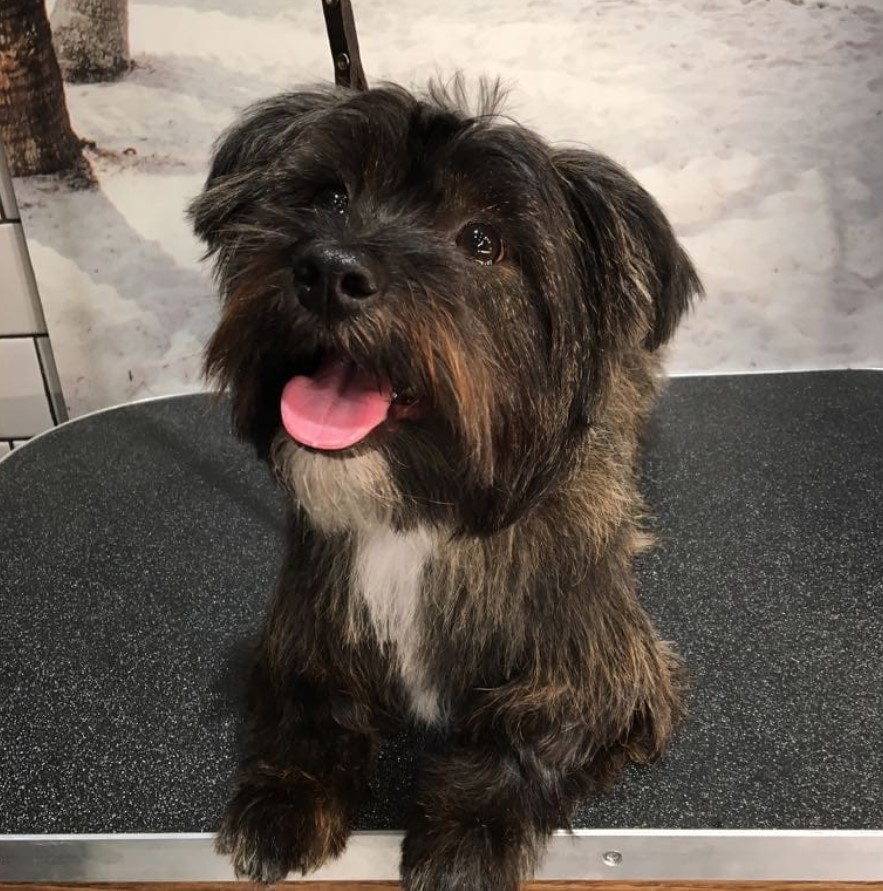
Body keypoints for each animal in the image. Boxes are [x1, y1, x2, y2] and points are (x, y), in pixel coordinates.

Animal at [190, 78, 700, 891]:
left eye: (482, 241)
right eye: (329, 196)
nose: (328, 271)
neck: (424, 510)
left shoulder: (608, 673)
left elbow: (519, 727)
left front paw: (463, 836)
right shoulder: (302, 629)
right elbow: (309, 708)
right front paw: (284, 800)